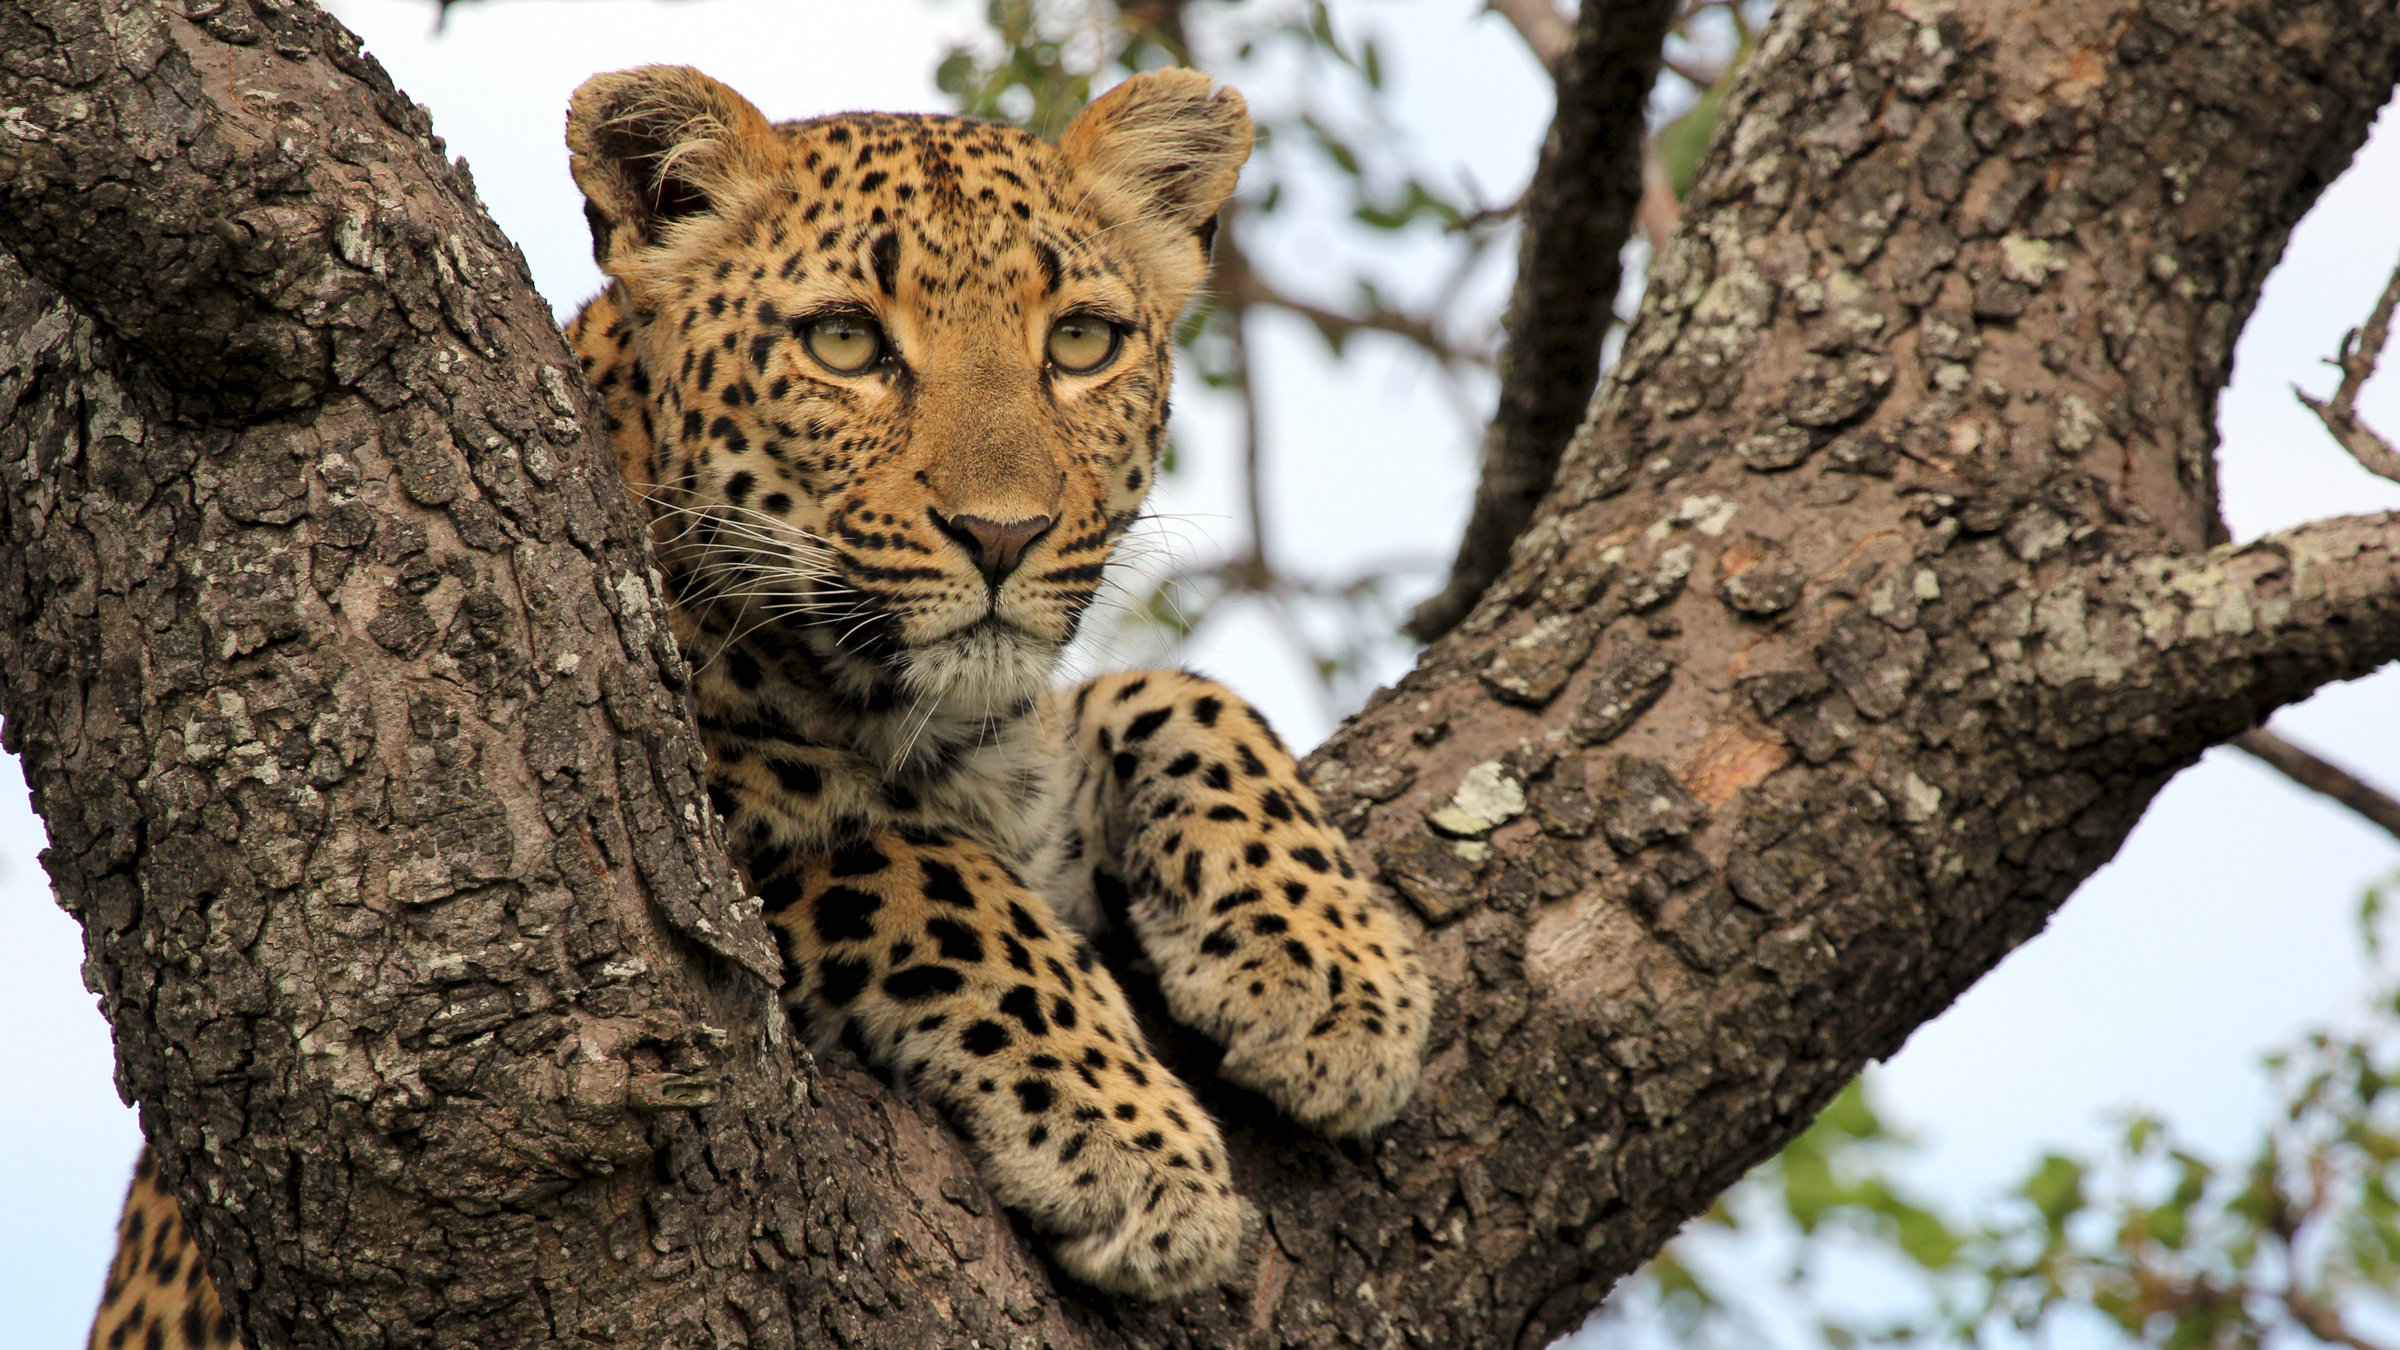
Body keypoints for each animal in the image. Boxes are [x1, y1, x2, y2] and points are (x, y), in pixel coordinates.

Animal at [89, 64, 1431, 1343]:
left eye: (1085, 344)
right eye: (843, 343)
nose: (1004, 535)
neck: (913, 718)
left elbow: (1183, 693)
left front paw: (1337, 980)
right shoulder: (717, 830)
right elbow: (930, 873)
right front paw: (1140, 1155)